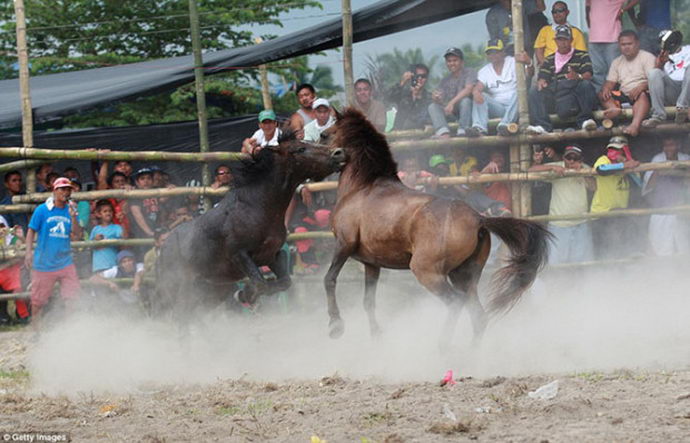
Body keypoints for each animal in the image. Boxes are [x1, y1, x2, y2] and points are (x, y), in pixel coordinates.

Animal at [159, 133, 346, 316]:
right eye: (300, 149)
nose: (338, 153)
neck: (258, 207)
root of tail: (163, 248)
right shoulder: (239, 255)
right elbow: (260, 282)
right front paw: (243, 294)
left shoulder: (272, 255)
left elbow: (285, 281)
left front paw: (246, 294)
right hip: (181, 290)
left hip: (211, 292)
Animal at [322, 108, 548, 346]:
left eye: (325, 135)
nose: (335, 154)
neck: (362, 187)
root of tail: (478, 219)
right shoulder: (371, 263)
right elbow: (368, 301)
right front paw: (376, 336)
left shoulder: (344, 243)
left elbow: (329, 279)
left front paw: (336, 326)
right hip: (464, 275)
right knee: (478, 316)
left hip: (427, 271)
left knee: (455, 302)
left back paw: (442, 346)